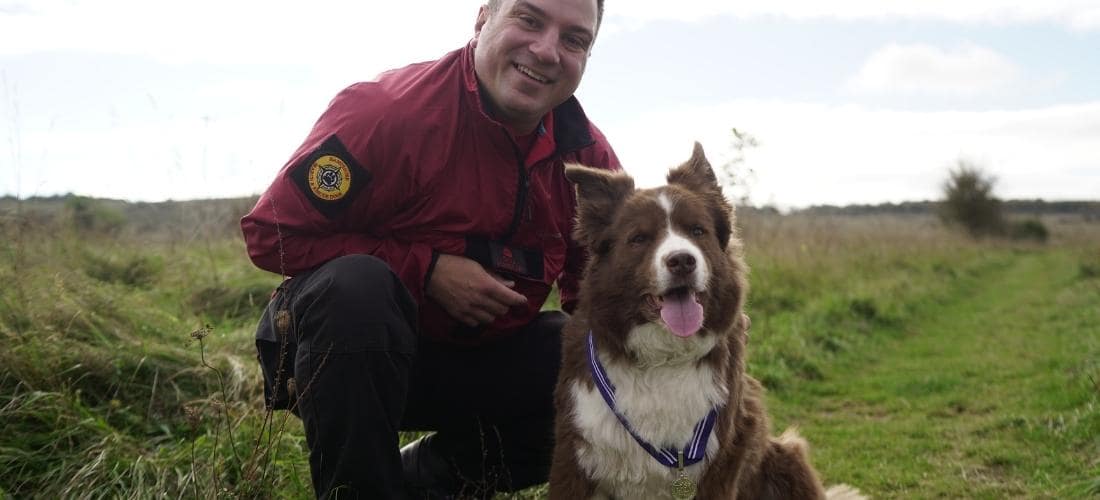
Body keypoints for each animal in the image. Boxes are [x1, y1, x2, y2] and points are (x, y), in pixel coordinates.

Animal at [550, 142, 858, 498]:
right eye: (639, 238)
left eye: (697, 231)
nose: (682, 260)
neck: (664, 359)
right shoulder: (576, 452)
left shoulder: (723, 458)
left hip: (787, 456)